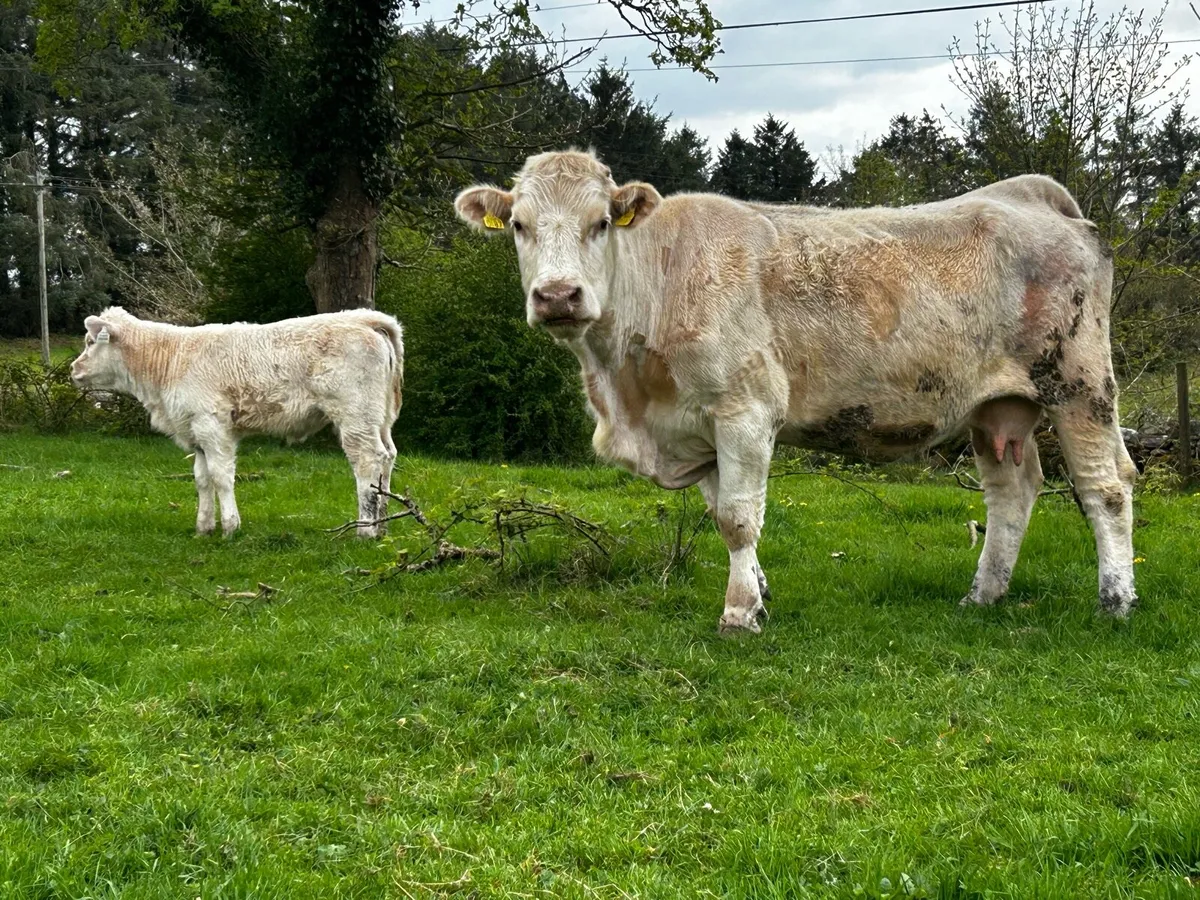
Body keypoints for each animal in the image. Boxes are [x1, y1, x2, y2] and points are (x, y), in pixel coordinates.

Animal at [70, 307, 404, 538]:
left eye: (89, 341)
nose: (73, 369)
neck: (171, 359)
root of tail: (363, 318)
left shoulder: (213, 427)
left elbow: (221, 476)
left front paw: (230, 527)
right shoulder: (196, 432)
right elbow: (201, 479)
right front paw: (203, 527)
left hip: (355, 415)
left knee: (367, 461)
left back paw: (365, 529)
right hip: (380, 418)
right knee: (388, 456)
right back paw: (383, 526)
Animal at [454, 149, 1137, 633]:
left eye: (600, 224)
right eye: (519, 226)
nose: (557, 295)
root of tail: (1029, 195)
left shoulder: (745, 409)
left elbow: (737, 518)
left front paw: (737, 615)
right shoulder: (699, 428)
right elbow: (722, 514)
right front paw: (757, 595)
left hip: (1080, 384)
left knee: (1105, 488)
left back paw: (1116, 600)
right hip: (995, 405)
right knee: (1011, 492)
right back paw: (984, 595)